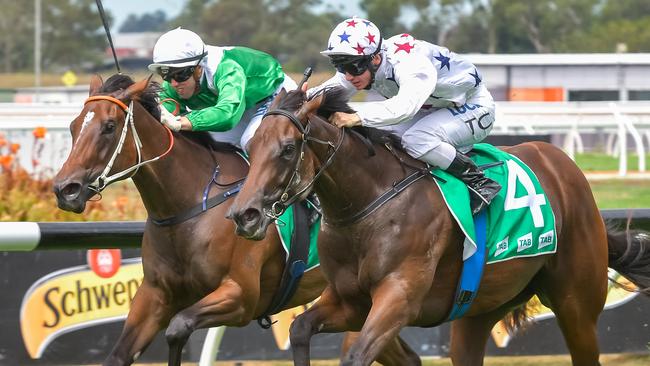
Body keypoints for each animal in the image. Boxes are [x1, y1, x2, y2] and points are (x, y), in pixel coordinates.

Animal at [52, 75, 416, 366]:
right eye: (72, 126)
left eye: (109, 127)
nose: (64, 189)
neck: (189, 206)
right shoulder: (154, 294)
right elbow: (120, 354)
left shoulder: (239, 296)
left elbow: (178, 327)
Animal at [227, 86, 648, 366]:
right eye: (251, 148)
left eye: (286, 149)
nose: (244, 215)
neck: (368, 204)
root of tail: (562, 163)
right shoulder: (350, 301)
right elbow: (299, 329)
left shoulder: (398, 298)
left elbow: (357, 355)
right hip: (478, 310)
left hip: (576, 302)